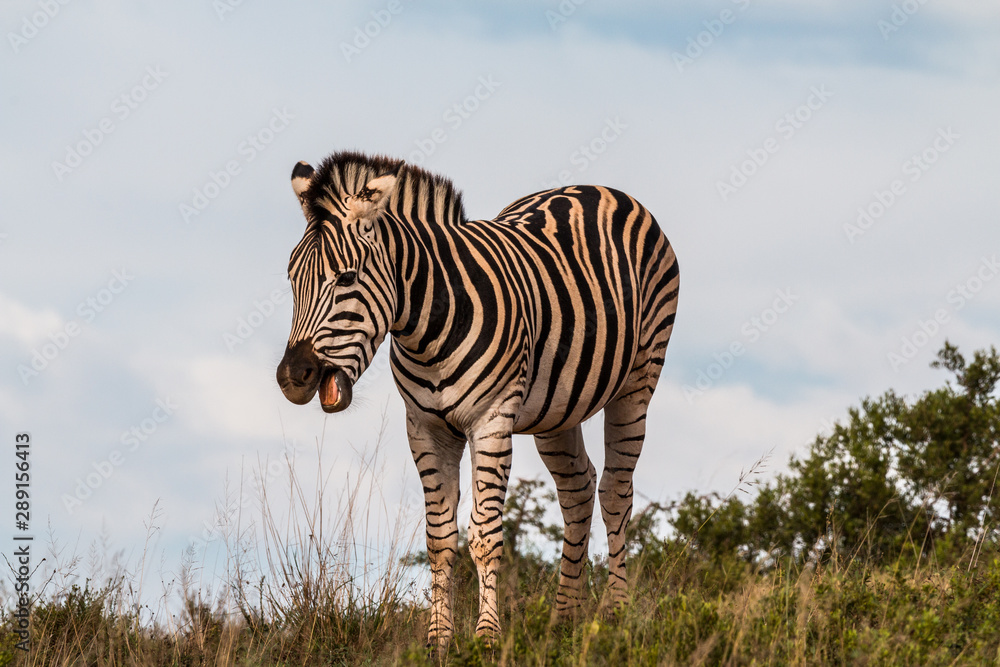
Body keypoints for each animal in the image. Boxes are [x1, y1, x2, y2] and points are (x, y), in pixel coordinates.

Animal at [276, 150, 679, 646]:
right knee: (578, 490)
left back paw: (616, 613)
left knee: (616, 492)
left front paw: (486, 638)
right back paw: (565, 618)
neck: (427, 328)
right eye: (291, 278)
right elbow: (439, 538)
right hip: (558, 408)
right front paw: (439, 639)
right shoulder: (425, 429)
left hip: (638, 381)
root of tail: (598, 187)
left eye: (347, 278)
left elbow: (485, 535)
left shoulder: (491, 420)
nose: (292, 377)